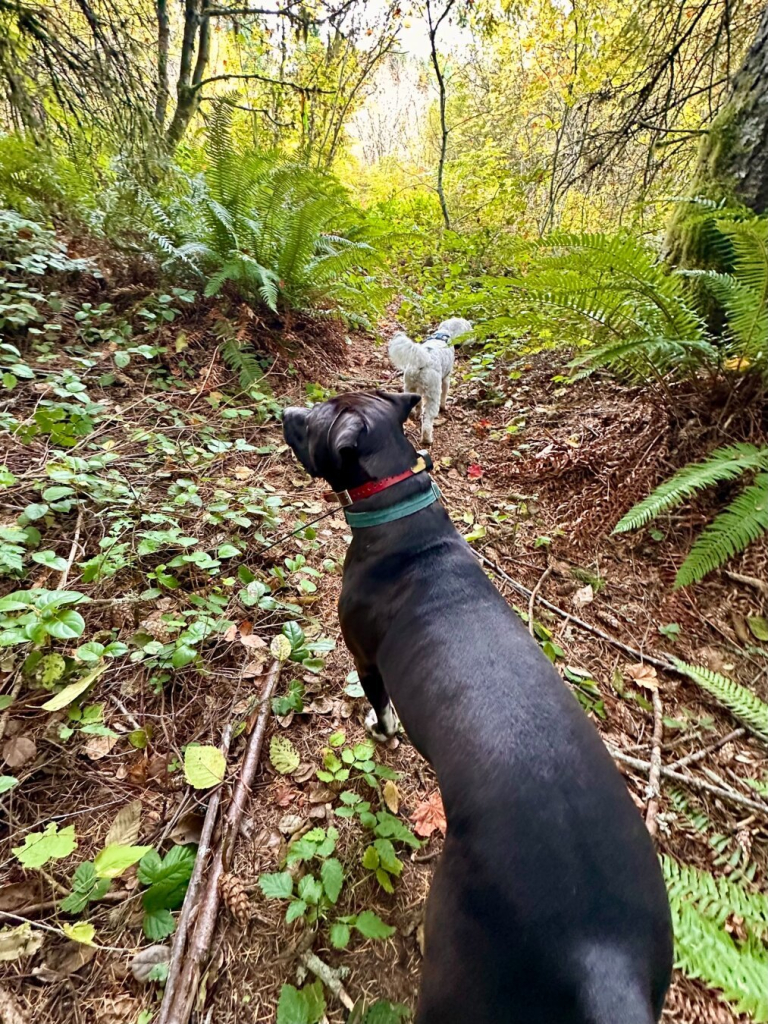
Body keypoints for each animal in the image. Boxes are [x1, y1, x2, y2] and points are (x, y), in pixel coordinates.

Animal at [282, 389, 671, 1024]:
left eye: (319, 416)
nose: (286, 411)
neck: (401, 516)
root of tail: (603, 956)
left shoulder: (365, 658)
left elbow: (380, 708)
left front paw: (380, 732)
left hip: (454, 959)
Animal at [387, 315, 473, 444]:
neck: (444, 334)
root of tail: (423, 360)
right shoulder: (446, 378)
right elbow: (444, 395)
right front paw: (444, 407)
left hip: (409, 386)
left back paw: (413, 415)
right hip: (433, 392)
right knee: (428, 420)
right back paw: (427, 439)